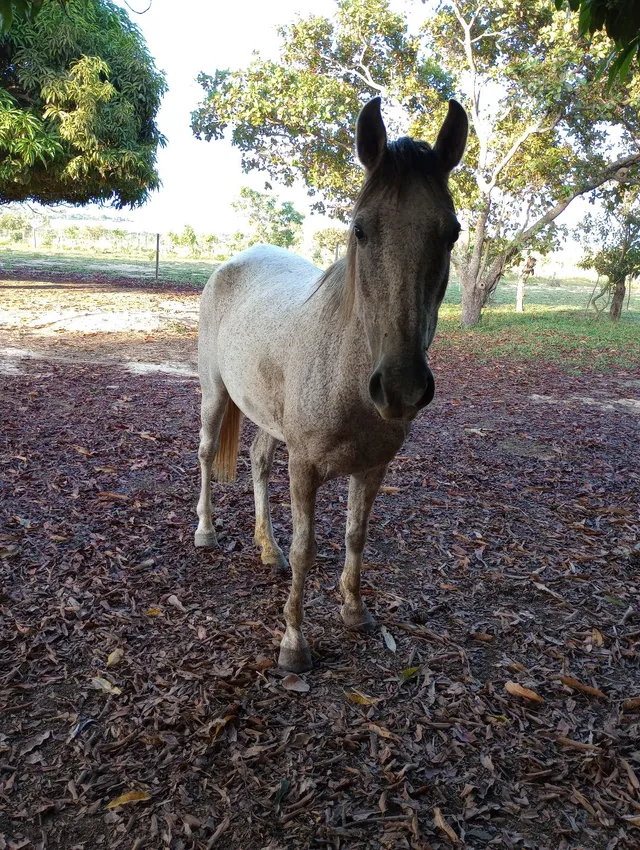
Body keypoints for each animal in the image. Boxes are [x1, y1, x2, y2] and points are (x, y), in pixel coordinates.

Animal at [192, 96, 468, 672]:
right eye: (361, 229)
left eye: (451, 232)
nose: (402, 387)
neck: (348, 375)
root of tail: (234, 261)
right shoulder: (305, 469)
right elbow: (308, 549)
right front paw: (294, 644)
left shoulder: (372, 469)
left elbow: (355, 536)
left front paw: (354, 611)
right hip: (215, 393)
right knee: (206, 452)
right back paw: (206, 531)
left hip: (267, 415)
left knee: (258, 462)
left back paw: (266, 548)